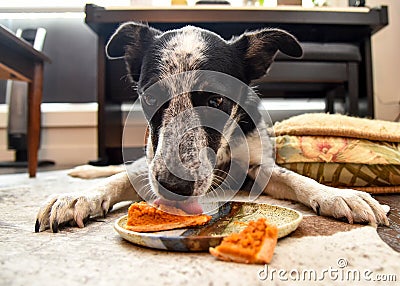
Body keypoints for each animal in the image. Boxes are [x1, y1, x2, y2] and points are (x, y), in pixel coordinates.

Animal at [35, 22, 388, 232]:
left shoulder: (258, 165)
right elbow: (120, 177)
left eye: (217, 100)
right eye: (151, 97)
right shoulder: (151, 162)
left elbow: (295, 178)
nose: (173, 187)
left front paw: (338, 195)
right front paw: (79, 197)